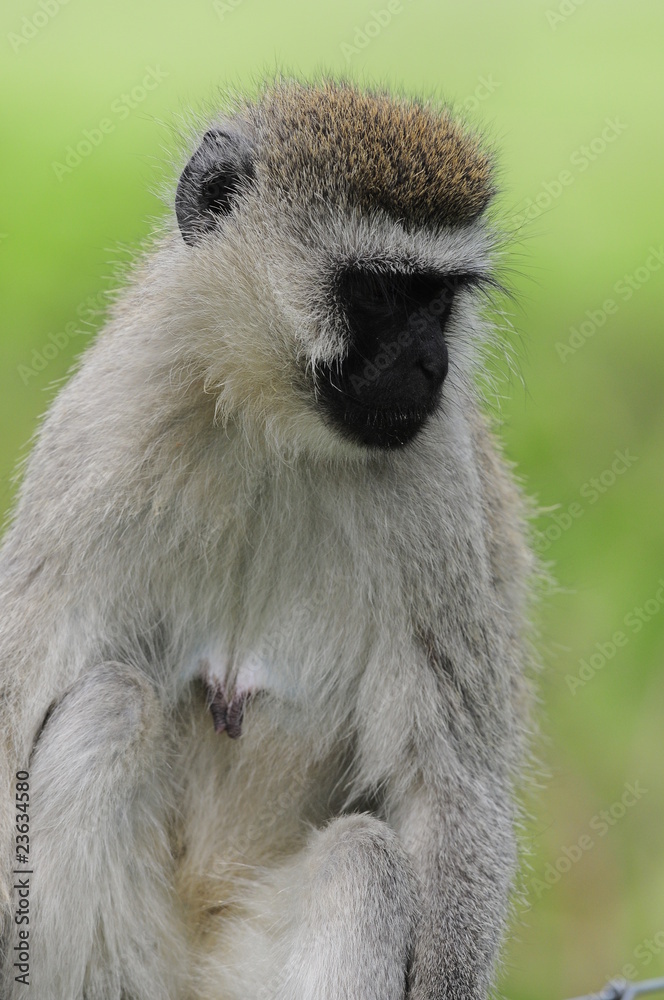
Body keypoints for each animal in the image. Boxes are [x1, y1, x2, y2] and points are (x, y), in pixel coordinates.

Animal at [0, 78, 536, 1000]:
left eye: (438, 299)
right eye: (378, 295)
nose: (431, 365)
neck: (271, 424)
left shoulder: (435, 478)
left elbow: (447, 788)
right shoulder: (109, 416)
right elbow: (17, 685)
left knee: (362, 860)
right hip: (137, 962)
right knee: (110, 703)